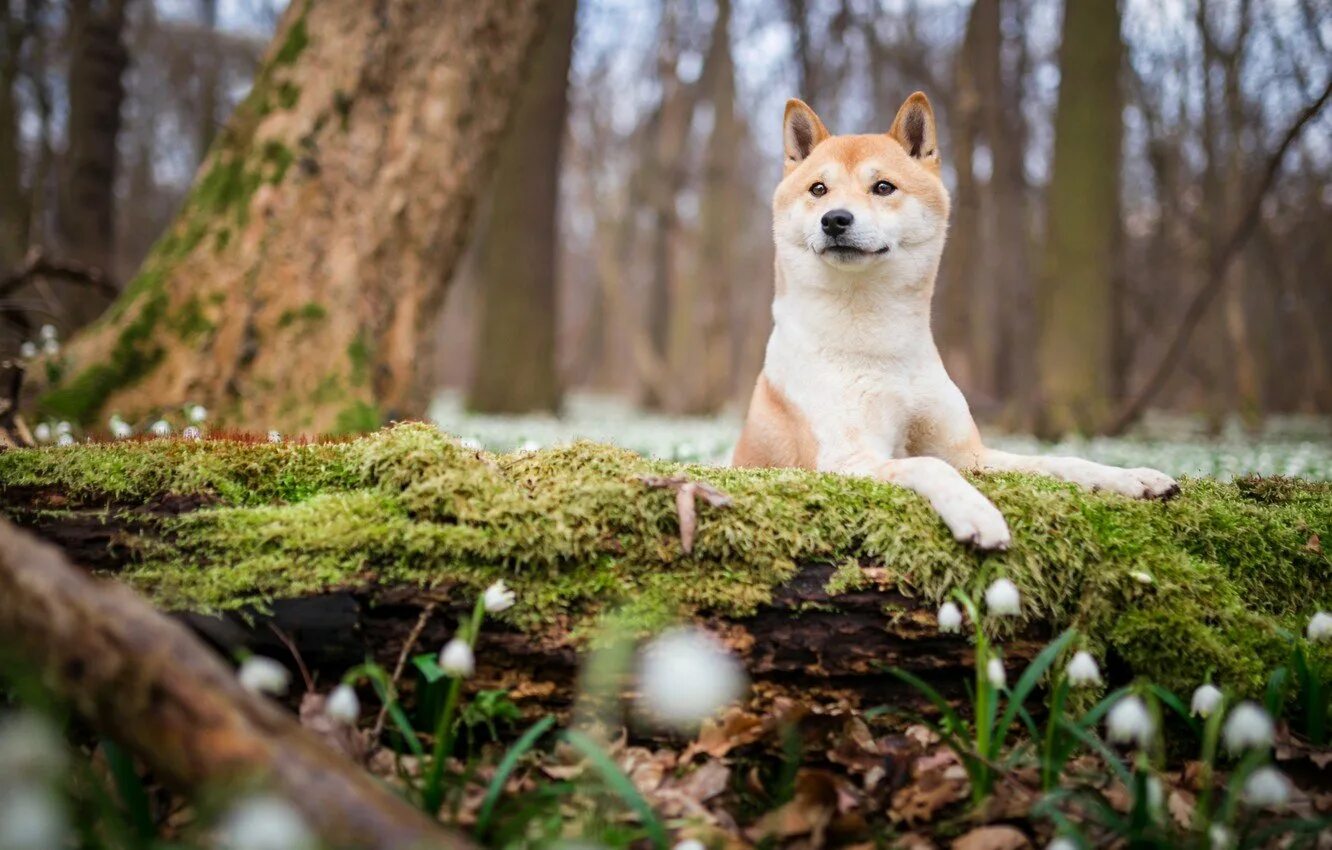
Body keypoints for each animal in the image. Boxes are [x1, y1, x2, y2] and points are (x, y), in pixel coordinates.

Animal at [735, 89, 1182, 548]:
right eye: (818, 189)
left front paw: (1131, 478)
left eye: (883, 187)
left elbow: (1057, 461)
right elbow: (930, 466)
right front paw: (976, 512)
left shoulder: (970, 453)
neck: (878, 342)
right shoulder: (845, 459)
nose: (835, 219)